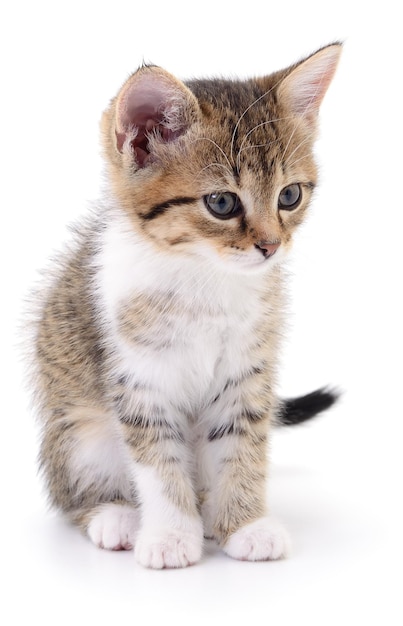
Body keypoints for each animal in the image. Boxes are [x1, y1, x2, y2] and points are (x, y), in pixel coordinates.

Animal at [30, 45, 340, 564]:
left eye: (290, 196)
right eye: (222, 203)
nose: (271, 246)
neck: (206, 277)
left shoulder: (247, 374)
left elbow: (242, 446)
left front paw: (245, 524)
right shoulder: (138, 380)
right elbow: (157, 461)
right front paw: (171, 536)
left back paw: (210, 512)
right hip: (77, 432)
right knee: (72, 488)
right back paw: (115, 517)